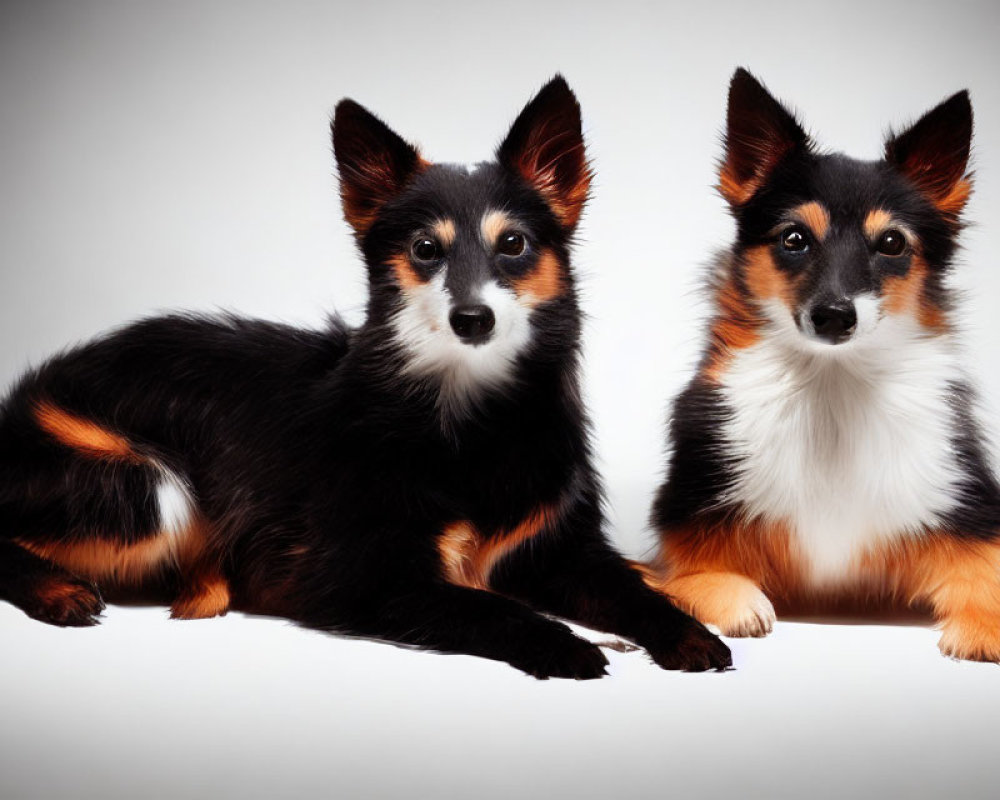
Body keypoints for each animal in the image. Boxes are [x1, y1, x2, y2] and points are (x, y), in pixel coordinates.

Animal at [0, 75, 732, 680]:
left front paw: (686, 633)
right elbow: (488, 606)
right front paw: (564, 644)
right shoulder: (359, 577)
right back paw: (59, 591)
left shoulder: (566, 549)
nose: (473, 318)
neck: (469, 410)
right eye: (425, 249)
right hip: (149, 486)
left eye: (514, 244)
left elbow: (634, 590)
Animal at [640, 67, 1000, 664]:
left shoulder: (964, 510)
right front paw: (734, 600)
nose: (833, 315)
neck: (833, 386)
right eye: (794, 238)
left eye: (892, 242)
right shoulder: (686, 524)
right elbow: (685, 576)